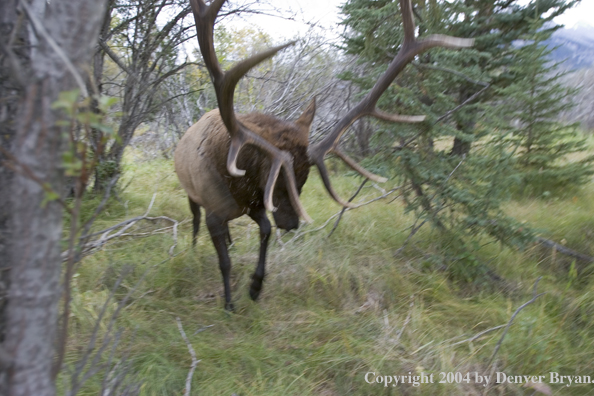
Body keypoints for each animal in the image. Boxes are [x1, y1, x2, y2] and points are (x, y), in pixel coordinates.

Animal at [175, 0, 472, 310]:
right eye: (273, 179)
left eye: (304, 181)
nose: (292, 224)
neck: (237, 187)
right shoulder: (216, 210)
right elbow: (224, 261)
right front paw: (229, 303)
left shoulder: (255, 205)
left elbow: (265, 230)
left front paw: (256, 286)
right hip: (191, 193)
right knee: (194, 219)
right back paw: (194, 249)